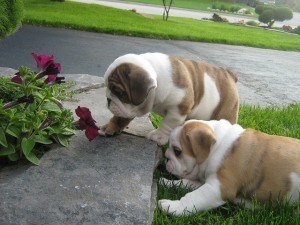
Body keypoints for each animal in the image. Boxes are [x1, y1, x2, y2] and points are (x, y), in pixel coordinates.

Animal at [102, 52, 238, 146]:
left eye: (118, 92)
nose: (108, 99)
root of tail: (230, 74)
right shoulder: (125, 110)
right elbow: (120, 117)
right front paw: (110, 126)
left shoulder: (179, 107)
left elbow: (168, 123)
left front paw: (158, 135)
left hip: (225, 112)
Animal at [158, 119, 300, 216]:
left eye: (177, 151)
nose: (166, 156)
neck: (217, 146)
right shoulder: (208, 182)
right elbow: (185, 183)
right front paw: (167, 182)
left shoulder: (218, 188)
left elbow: (193, 197)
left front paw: (172, 206)